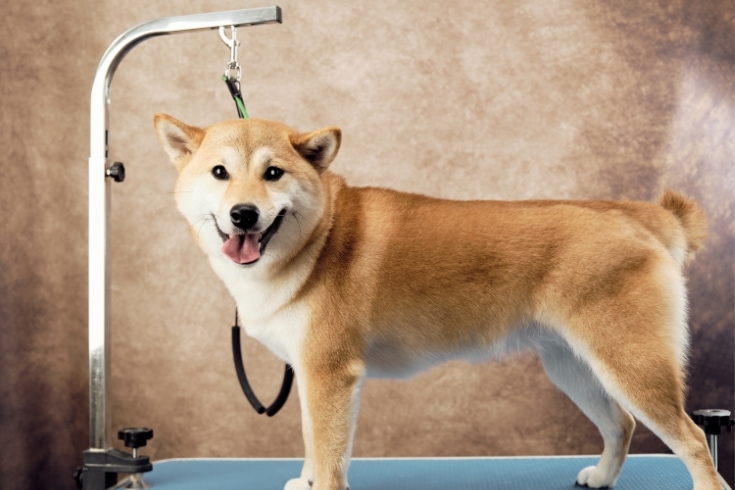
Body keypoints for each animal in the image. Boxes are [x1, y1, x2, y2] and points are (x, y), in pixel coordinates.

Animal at [152, 114, 720, 490]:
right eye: (219, 172)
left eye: (274, 174)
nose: (243, 214)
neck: (316, 241)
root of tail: (636, 215)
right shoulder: (311, 377)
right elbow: (313, 443)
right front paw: (304, 482)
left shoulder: (330, 374)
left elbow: (330, 455)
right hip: (575, 367)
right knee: (621, 424)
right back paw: (601, 477)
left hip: (632, 366)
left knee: (693, 440)